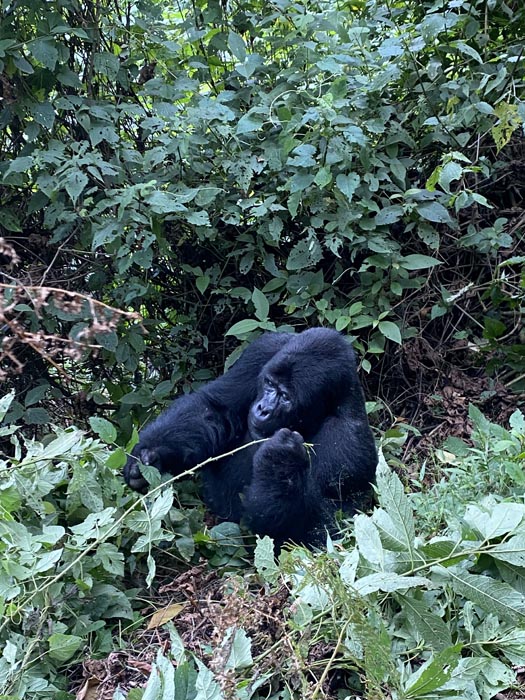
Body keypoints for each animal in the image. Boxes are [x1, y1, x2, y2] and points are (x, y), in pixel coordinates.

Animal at [123, 328, 376, 548]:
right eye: (269, 384)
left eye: (286, 397)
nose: (263, 409)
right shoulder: (264, 349)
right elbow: (215, 407)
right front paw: (149, 454)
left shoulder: (349, 444)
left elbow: (318, 534)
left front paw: (281, 458)